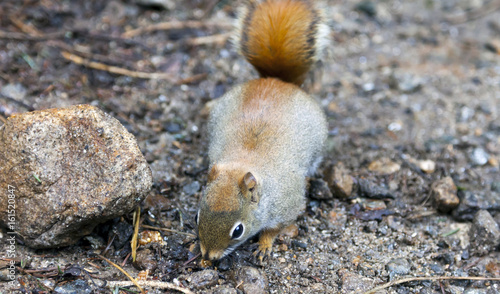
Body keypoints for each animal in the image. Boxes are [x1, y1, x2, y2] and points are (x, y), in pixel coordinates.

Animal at [197, 0, 330, 262]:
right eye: (197, 216)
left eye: (238, 230)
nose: (208, 256)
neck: (242, 165)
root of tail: (276, 80)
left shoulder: (288, 204)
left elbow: (275, 228)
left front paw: (264, 245)